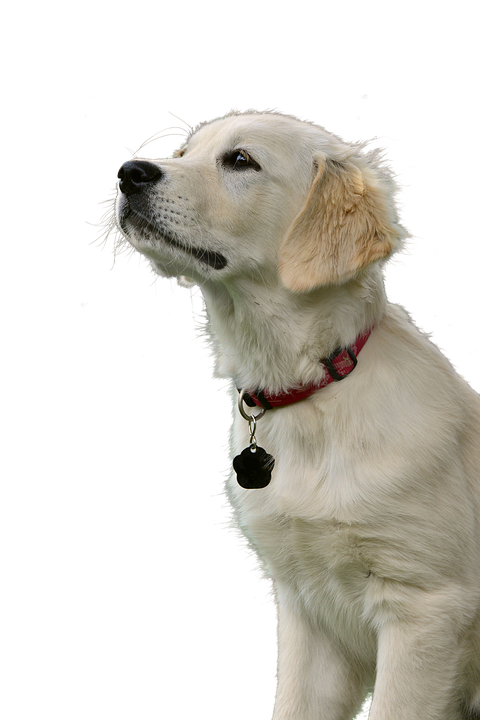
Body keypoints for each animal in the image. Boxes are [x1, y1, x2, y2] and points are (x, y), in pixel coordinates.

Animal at [88, 108, 478, 720]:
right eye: (184, 153)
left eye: (240, 160)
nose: (129, 173)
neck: (312, 389)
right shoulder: (309, 608)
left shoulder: (426, 609)